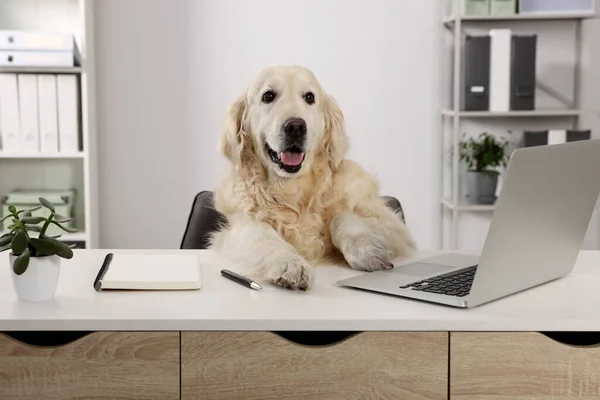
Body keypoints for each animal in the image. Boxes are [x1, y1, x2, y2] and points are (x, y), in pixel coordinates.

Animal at [209, 66, 414, 290]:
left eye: (309, 97)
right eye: (268, 96)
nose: (296, 127)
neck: (292, 188)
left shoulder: (394, 227)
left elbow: (341, 217)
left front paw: (365, 247)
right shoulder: (235, 227)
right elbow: (263, 234)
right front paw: (289, 264)